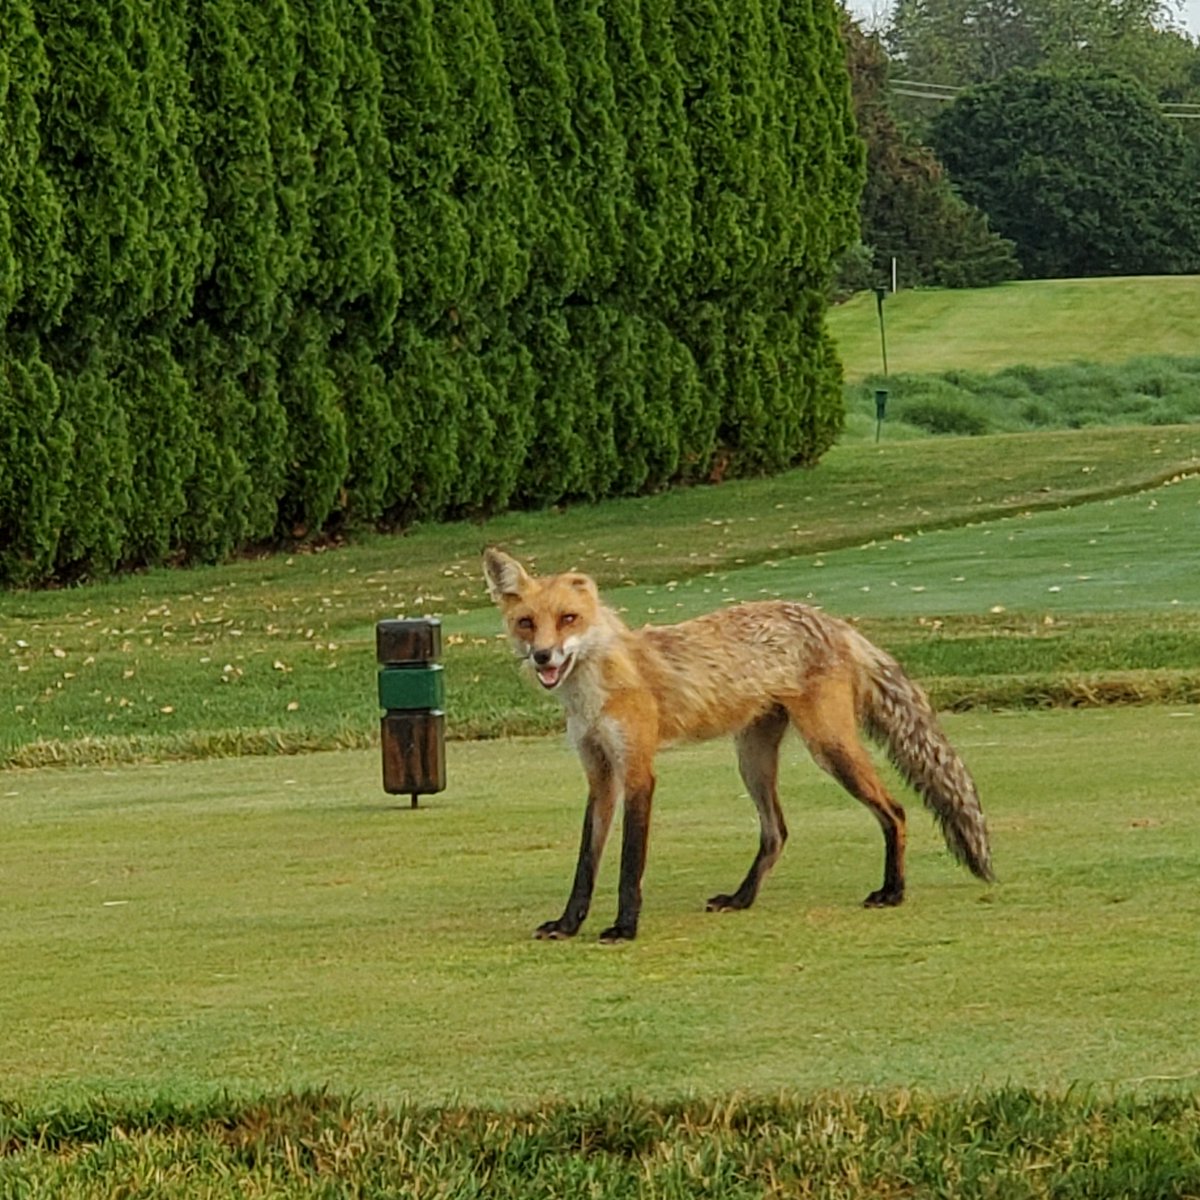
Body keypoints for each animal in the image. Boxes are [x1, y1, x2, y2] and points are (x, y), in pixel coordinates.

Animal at [483, 546, 994, 943]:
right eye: (526, 623)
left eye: (568, 619)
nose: (543, 656)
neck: (593, 691)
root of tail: (830, 620)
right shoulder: (600, 774)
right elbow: (585, 865)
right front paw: (568, 925)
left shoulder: (638, 771)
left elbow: (630, 863)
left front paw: (625, 927)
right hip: (751, 759)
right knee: (777, 832)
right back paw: (742, 898)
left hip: (830, 748)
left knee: (896, 811)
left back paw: (893, 892)